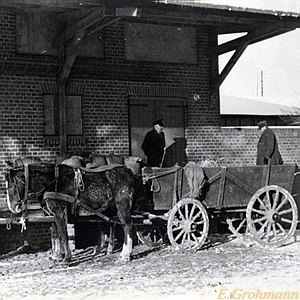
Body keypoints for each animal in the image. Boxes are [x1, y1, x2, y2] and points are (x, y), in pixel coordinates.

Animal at [5, 157, 136, 262]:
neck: (52, 182)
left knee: (127, 226)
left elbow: (63, 235)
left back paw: (125, 255)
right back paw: (107, 249)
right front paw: (57, 256)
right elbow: (55, 233)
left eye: (13, 185)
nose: (13, 207)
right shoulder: (50, 214)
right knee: (111, 224)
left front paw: (66, 259)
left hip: (122, 206)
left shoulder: (60, 212)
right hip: (110, 208)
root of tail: (128, 172)